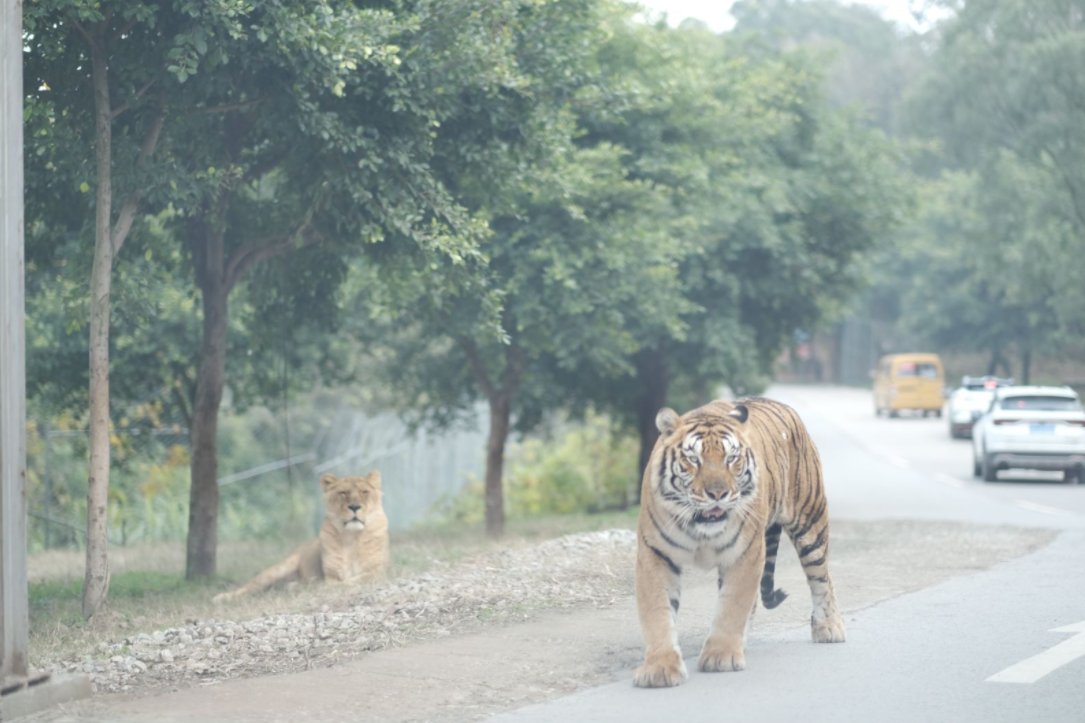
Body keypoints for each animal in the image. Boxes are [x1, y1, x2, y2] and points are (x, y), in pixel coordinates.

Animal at [212, 471, 389, 603]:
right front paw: (315, 587)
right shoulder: (332, 575)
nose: (354, 506)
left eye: (364, 492)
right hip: (279, 568)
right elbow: (340, 583)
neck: (352, 536)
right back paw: (222, 597)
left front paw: (311, 587)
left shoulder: (378, 571)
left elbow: (357, 580)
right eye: (343, 492)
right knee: (250, 587)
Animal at [634, 397, 845, 688]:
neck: (701, 529)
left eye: (731, 459)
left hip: (810, 523)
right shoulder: (656, 553)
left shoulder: (745, 552)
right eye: (693, 459)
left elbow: (732, 605)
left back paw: (830, 628)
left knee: (822, 578)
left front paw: (720, 656)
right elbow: (657, 611)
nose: (718, 493)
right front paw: (660, 668)